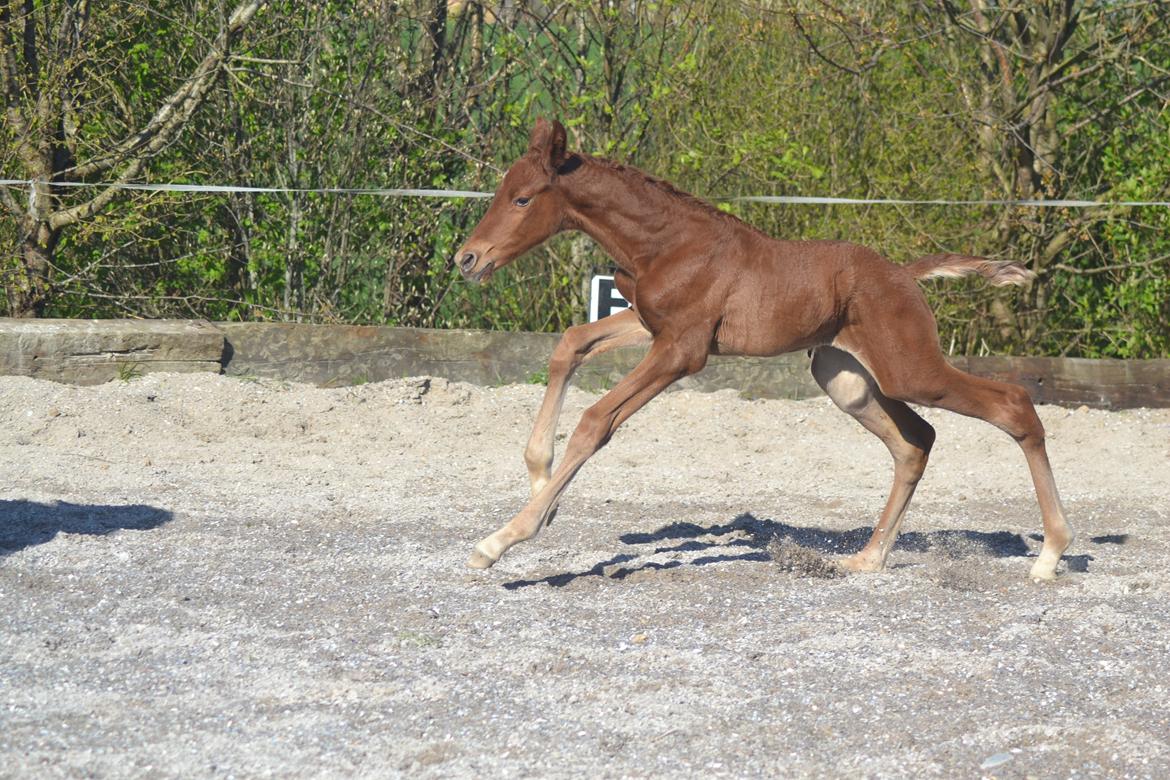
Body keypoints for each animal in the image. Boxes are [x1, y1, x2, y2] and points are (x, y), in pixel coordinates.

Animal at [451, 119, 1071, 582]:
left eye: (522, 198)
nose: (468, 259)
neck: (668, 244)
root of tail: (903, 274)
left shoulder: (682, 351)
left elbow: (596, 421)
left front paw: (502, 538)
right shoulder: (654, 327)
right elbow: (570, 345)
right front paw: (542, 483)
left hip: (911, 369)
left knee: (1012, 405)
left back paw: (1051, 554)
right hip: (845, 378)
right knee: (916, 441)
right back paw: (868, 558)